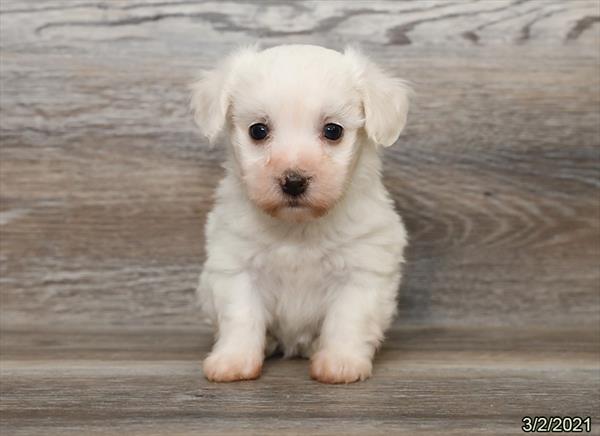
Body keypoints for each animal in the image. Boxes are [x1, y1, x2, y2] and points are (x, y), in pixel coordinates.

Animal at [190, 44, 410, 384]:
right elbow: (241, 316)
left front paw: (340, 362)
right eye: (258, 130)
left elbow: (348, 319)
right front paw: (233, 360)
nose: (293, 181)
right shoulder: (236, 267)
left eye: (333, 131)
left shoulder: (362, 269)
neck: (298, 228)